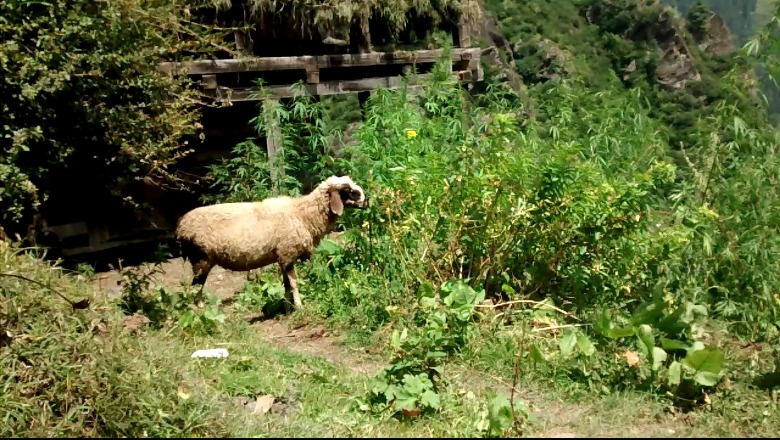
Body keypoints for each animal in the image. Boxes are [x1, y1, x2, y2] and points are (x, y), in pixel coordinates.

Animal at [174, 175, 368, 312]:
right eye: (349, 191)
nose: (367, 202)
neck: (303, 214)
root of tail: (181, 226)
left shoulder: (282, 257)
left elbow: (286, 285)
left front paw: (287, 308)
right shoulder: (288, 253)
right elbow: (294, 284)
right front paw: (300, 307)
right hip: (202, 258)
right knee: (195, 287)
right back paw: (200, 311)